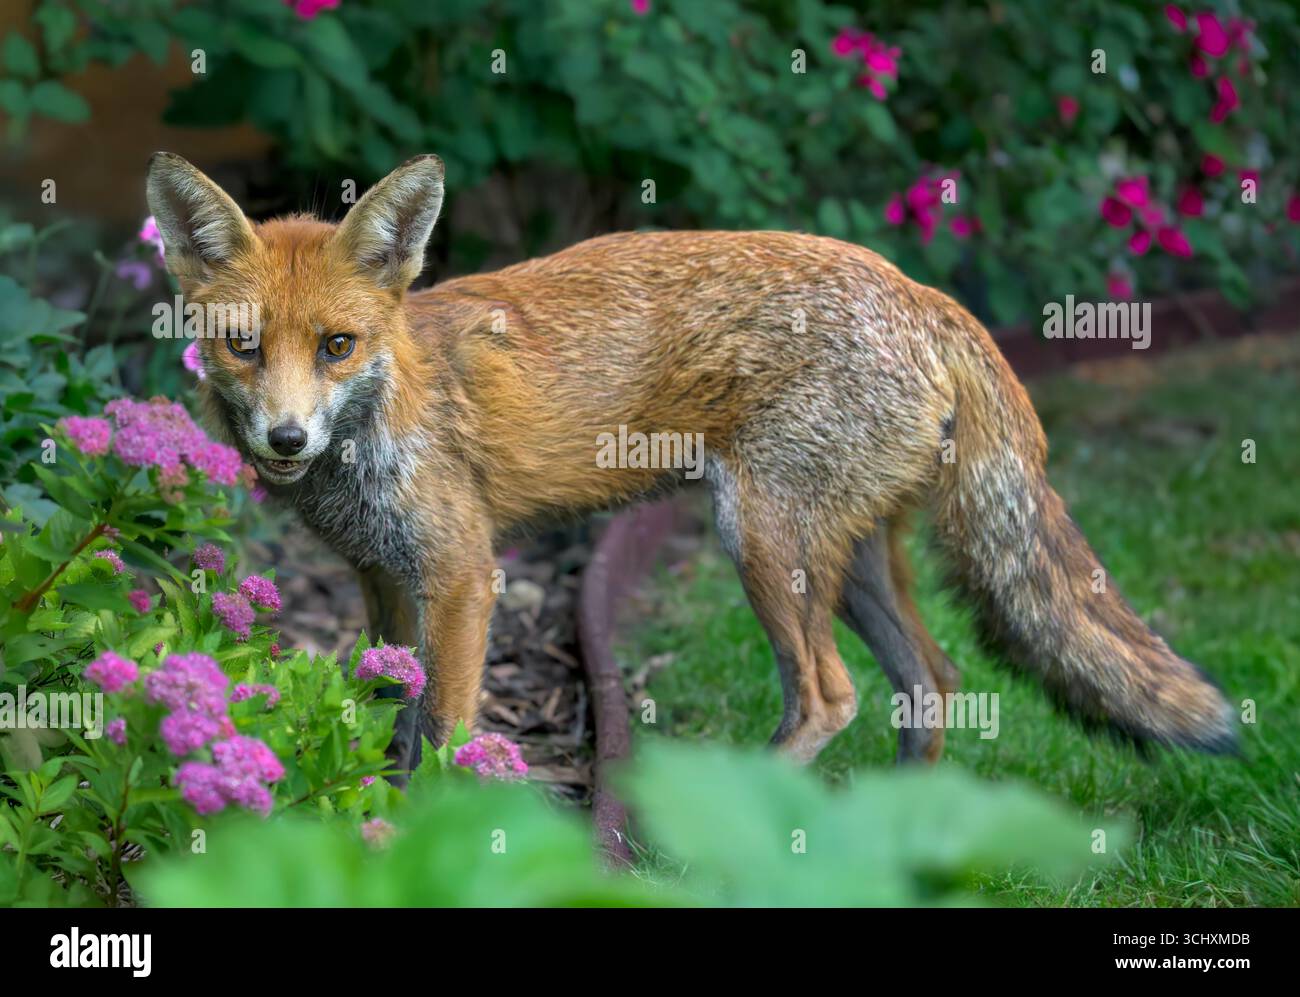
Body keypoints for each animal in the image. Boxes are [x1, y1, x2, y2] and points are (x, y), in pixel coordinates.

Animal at [145, 152, 1237, 770]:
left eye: (337, 345)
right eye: (244, 346)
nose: (287, 439)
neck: (389, 405)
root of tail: (918, 288)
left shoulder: (460, 575)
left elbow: (444, 731)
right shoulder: (380, 577)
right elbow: (386, 715)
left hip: (761, 539)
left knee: (831, 698)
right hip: (848, 558)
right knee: (930, 681)